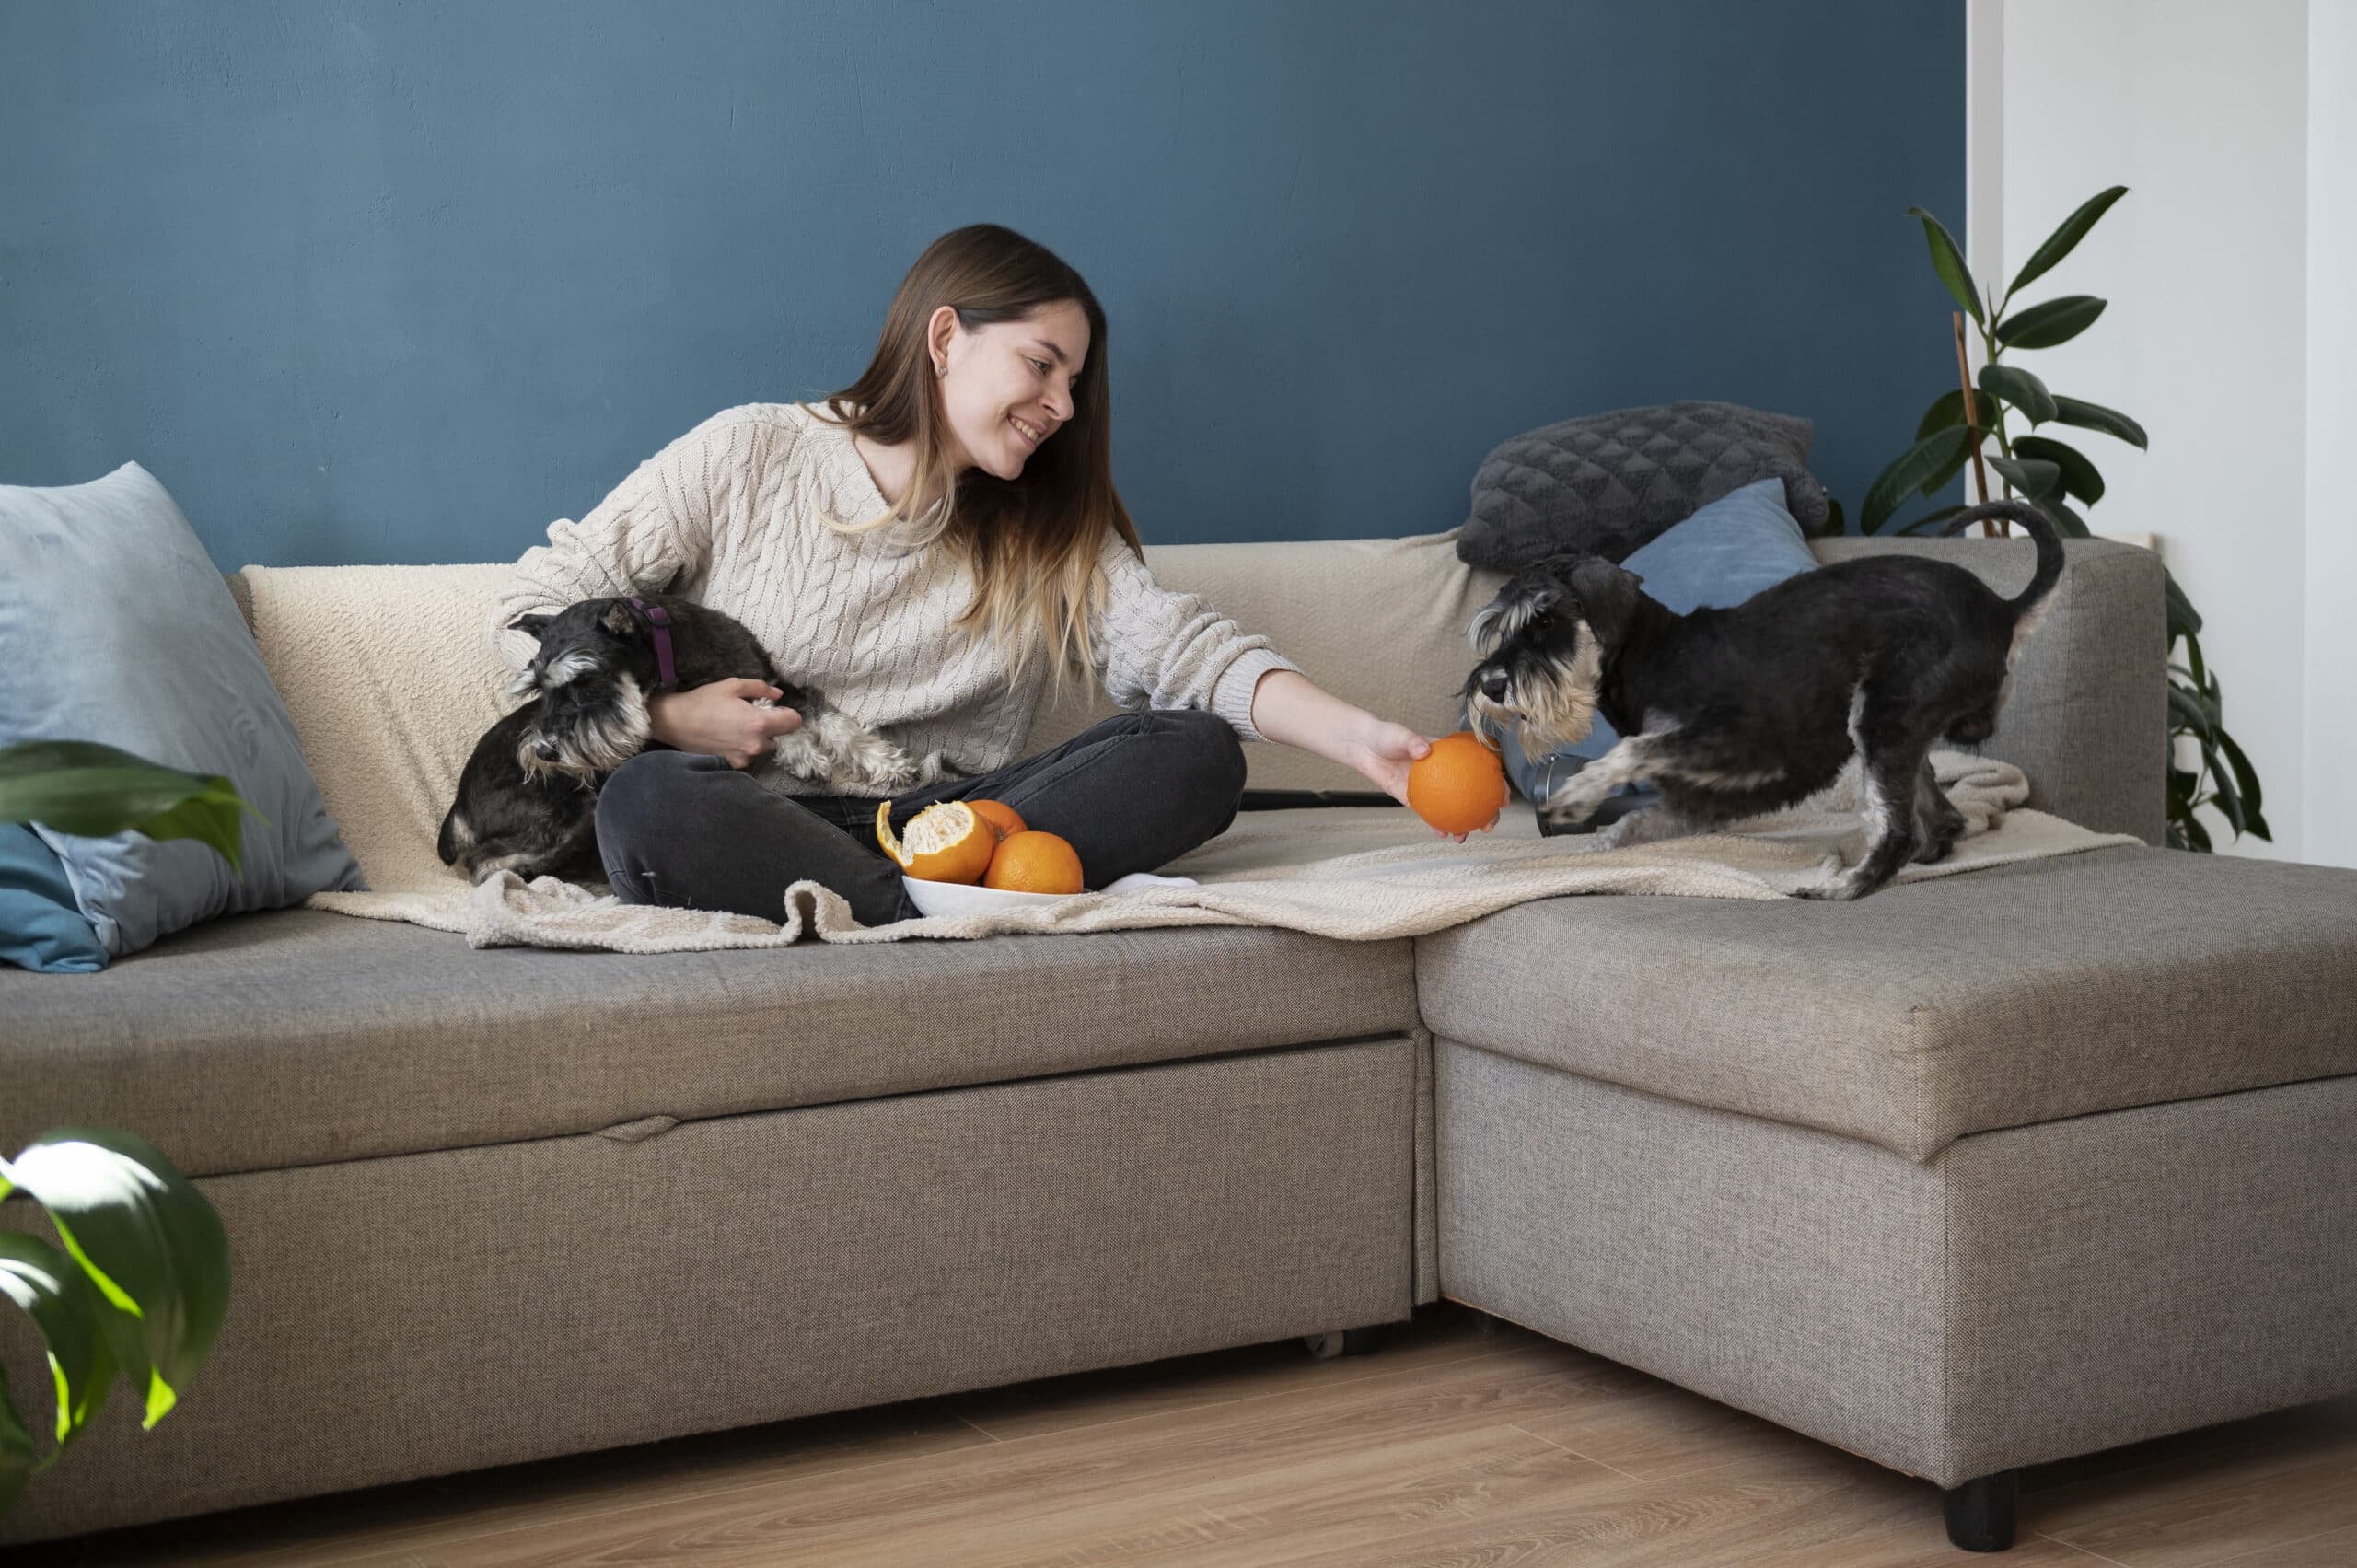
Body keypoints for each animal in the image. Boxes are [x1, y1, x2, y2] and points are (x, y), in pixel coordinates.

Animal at [438, 589, 943, 881]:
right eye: (539, 688)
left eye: (584, 682)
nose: (543, 751)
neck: (675, 656)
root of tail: (458, 807)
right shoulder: (736, 701)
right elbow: (767, 715)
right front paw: (804, 752)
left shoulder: (778, 683)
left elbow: (835, 723)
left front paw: (890, 765)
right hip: (561, 811)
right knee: (484, 862)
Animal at [1461, 494, 2073, 900]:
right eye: (1500, 626)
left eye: (1546, 620)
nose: (1490, 686)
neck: (1652, 653)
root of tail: (2003, 611)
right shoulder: (1702, 798)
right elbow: (1631, 827)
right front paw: (1591, 850)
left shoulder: (1739, 748)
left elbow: (1632, 751)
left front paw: (1575, 797)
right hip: (1899, 731)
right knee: (1941, 819)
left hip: (1881, 719)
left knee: (1899, 828)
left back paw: (1841, 885)